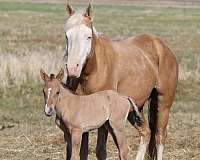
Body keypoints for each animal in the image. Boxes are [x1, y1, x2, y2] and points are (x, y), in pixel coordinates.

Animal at [63, 3, 178, 159]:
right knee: (146, 132)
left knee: (160, 135)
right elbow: (83, 151)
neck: (92, 71)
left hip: (163, 103)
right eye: (67, 36)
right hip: (135, 108)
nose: (73, 69)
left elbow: (100, 150)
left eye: (88, 36)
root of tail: (162, 47)